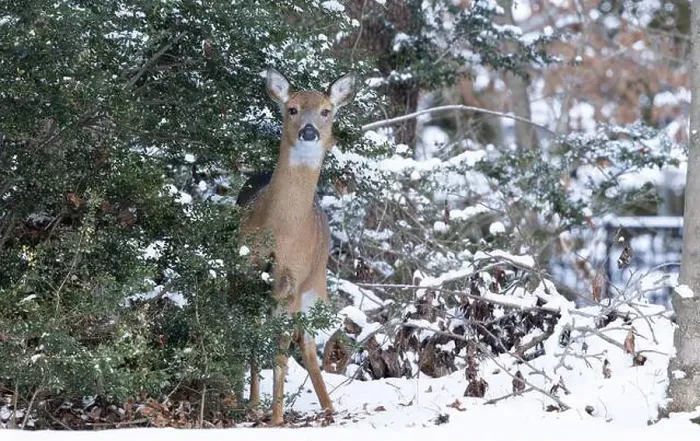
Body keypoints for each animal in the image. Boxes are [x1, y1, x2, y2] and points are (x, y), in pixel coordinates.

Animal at [234, 67, 355, 425]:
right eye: (292, 109)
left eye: (326, 111)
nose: (309, 131)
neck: (282, 231)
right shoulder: (244, 271)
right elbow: (246, 337)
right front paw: (250, 406)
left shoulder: (291, 279)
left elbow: (280, 350)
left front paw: (276, 419)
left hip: (315, 284)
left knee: (309, 344)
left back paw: (329, 408)